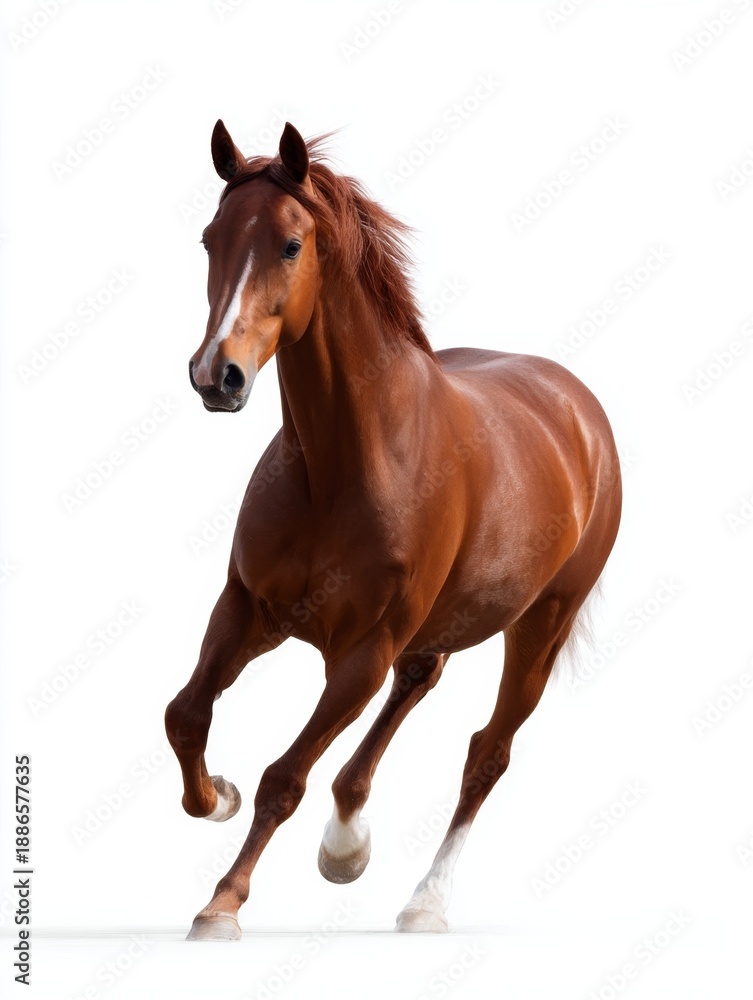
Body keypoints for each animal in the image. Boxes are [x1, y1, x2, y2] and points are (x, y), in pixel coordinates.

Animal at [165, 120, 622, 941]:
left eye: (290, 244)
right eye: (210, 239)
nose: (218, 376)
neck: (343, 465)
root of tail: (577, 404)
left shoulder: (360, 654)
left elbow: (285, 777)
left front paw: (222, 904)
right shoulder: (248, 608)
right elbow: (185, 715)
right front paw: (216, 796)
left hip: (542, 623)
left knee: (487, 753)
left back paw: (424, 902)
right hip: (439, 622)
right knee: (421, 681)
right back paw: (348, 838)